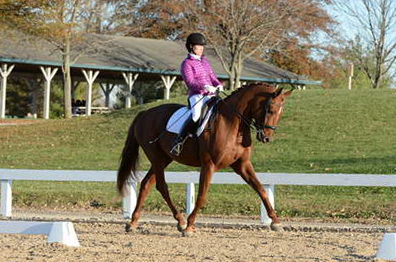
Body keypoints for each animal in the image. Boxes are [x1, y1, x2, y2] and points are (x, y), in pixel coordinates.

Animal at [117, 82, 290, 235]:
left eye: (281, 113)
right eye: (270, 110)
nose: (266, 137)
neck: (232, 123)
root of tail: (144, 113)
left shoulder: (242, 165)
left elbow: (261, 189)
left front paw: (276, 222)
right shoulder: (209, 164)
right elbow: (201, 196)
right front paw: (190, 226)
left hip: (164, 158)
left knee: (147, 184)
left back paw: (133, 222)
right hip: (157, 158)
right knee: (162, 186)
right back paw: (181, 221)